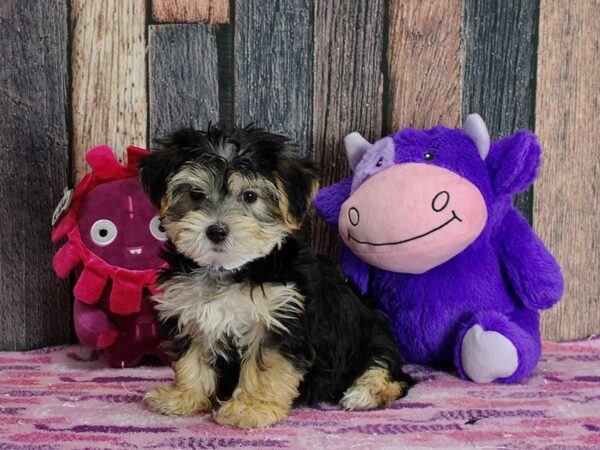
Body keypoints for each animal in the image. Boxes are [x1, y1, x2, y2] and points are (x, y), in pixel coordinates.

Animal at [139, 125, 412, 428]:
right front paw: (183, 397)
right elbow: (192, 359)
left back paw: (365, 392)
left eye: (249, 196)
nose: (216, 231)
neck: (231, 270)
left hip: (371, 337)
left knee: (387, 369)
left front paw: (250, 408)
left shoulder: (279, 319)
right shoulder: (191, 313)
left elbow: (265, 367)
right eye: (196, 194)